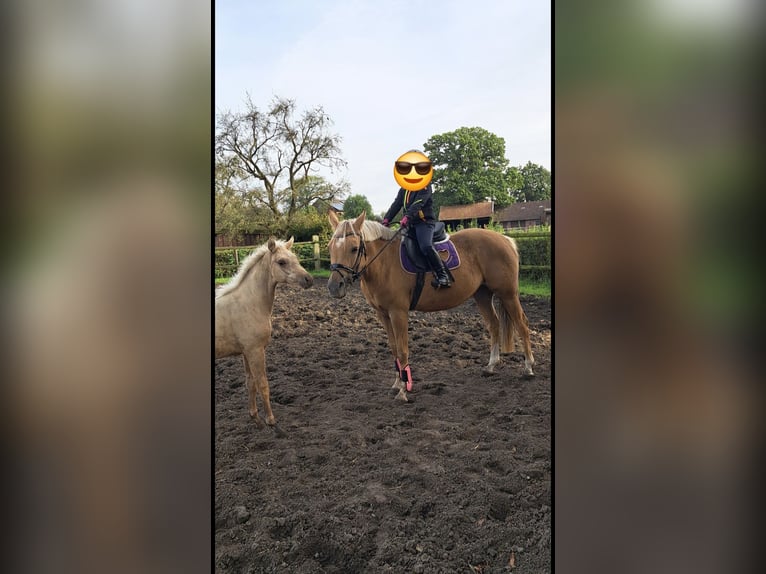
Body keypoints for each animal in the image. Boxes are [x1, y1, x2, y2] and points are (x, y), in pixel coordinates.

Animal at [214, 235, 314, 428]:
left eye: (296, 258)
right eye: (281, 262)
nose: (308, 280)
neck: (248, 303)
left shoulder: (246, 352)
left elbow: (250, 382)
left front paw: (255, 417)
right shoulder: (255, 350)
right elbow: (262, 384)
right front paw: (270, 420)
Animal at [328, 210, 536, 400]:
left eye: (354, 248)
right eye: (330, 247)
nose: (334, 287)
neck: (384, 263)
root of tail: (505, 239)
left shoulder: (398, 312)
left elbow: (402, 350)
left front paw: (404, 390)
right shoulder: (383, 314)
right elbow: (394, 348)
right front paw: (397, 384)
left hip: (508, 294)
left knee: (522, 325)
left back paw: (528, 368)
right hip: (483, 294)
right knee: (494, 324)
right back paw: (491, 366)